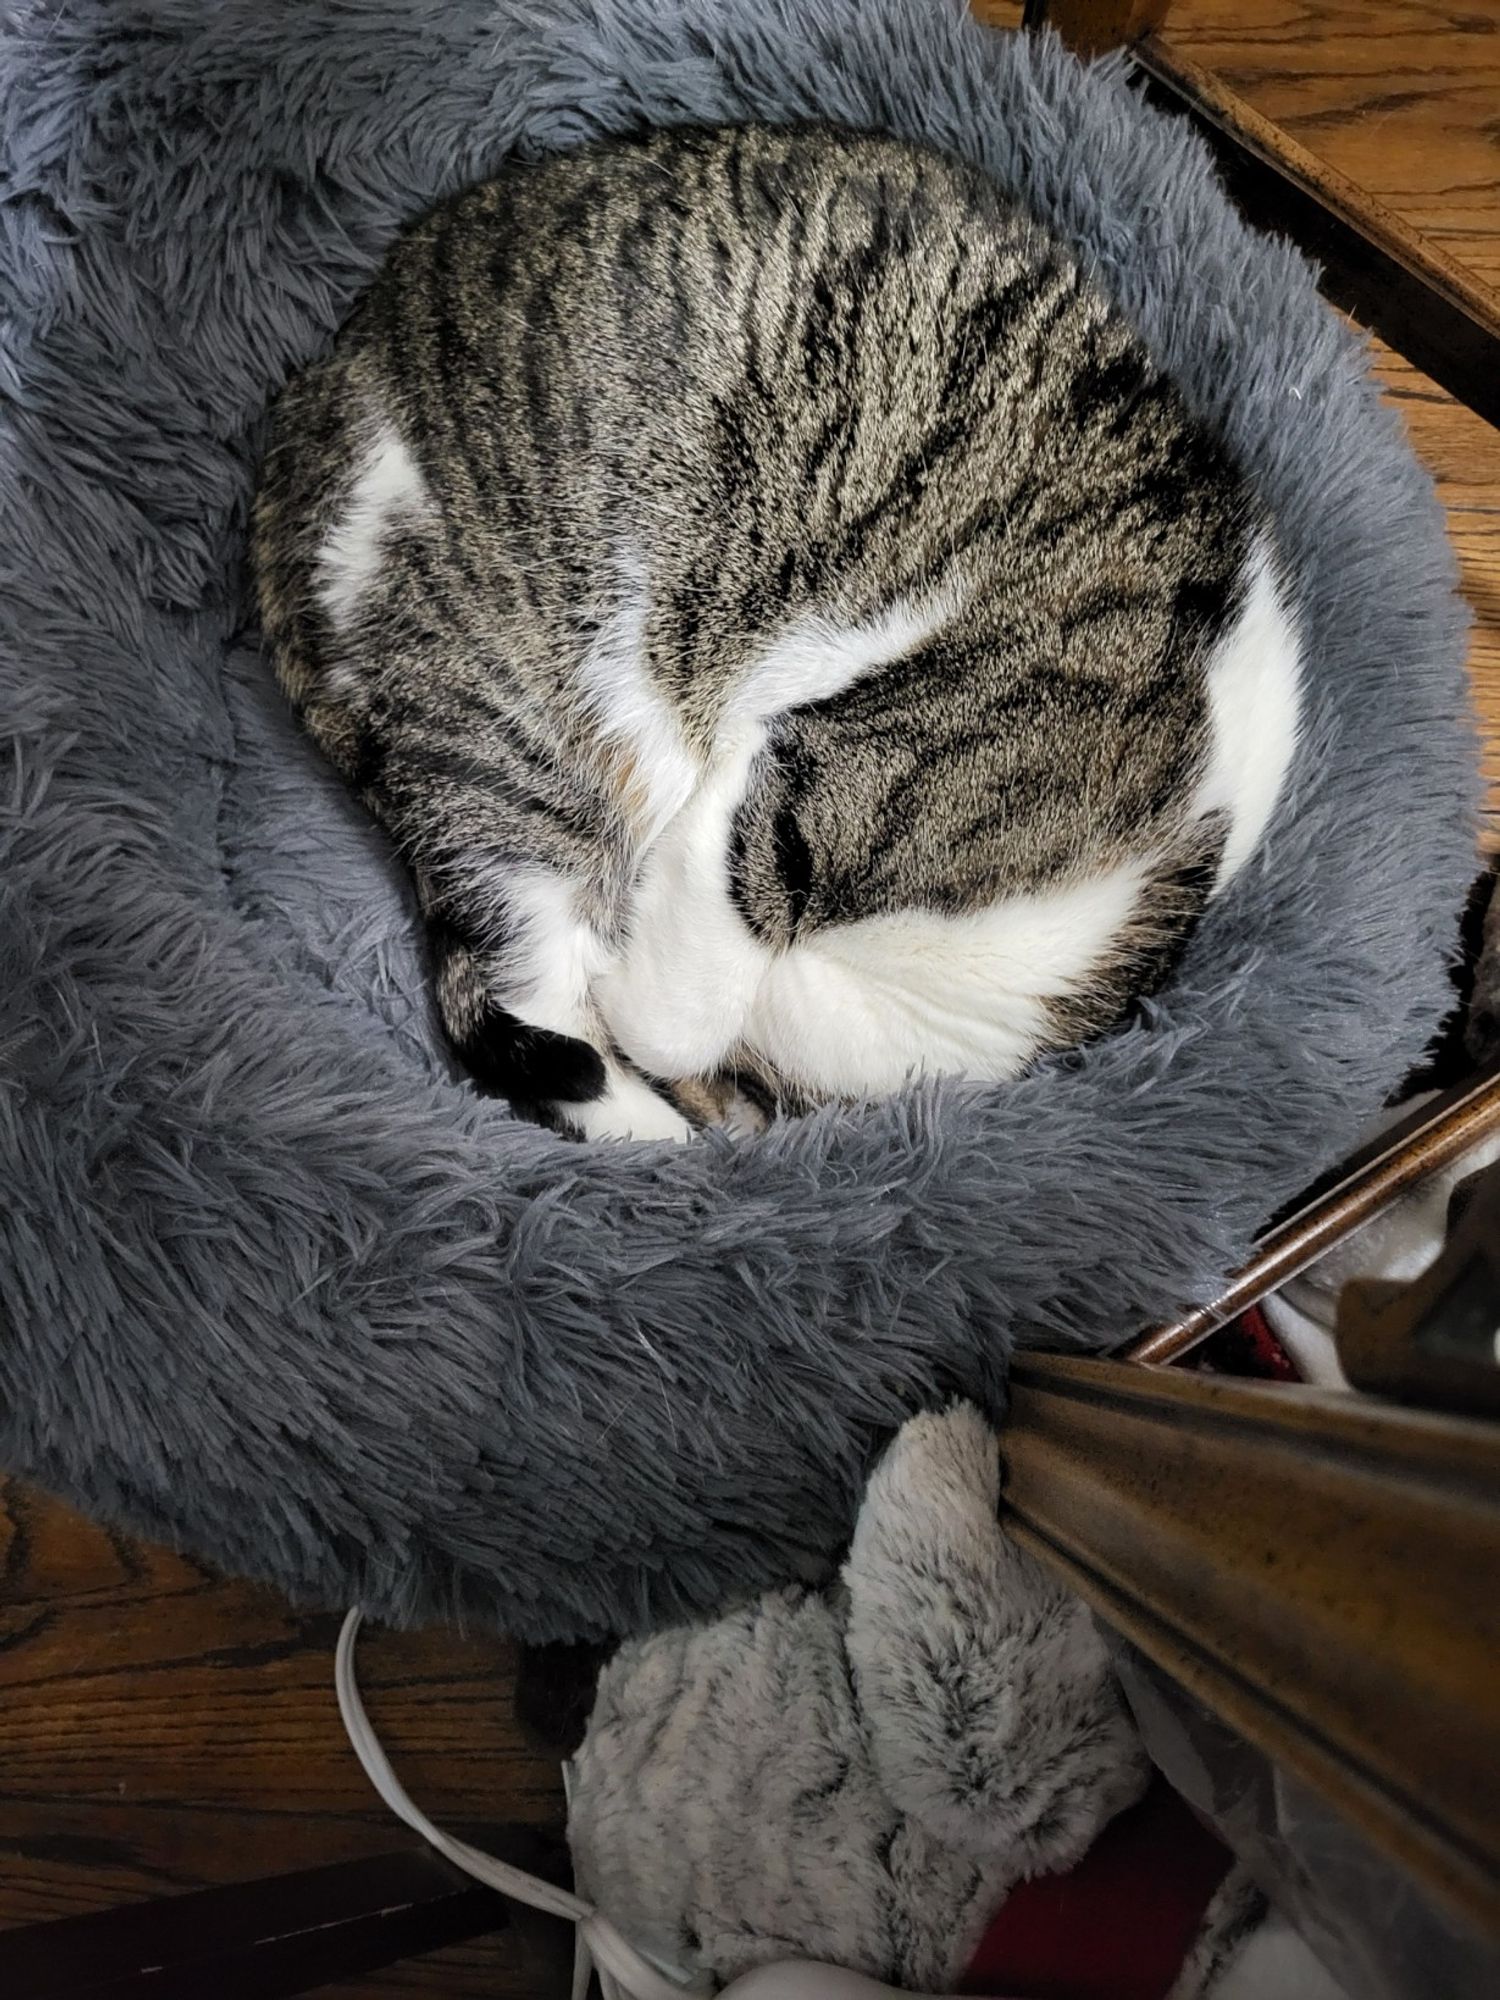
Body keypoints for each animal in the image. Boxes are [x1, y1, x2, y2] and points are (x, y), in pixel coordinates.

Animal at [250, 121, 1304, 1144]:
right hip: (512, 735)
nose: (724, 1095)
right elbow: (706, 946)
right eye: (789, 873)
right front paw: (657, 1027)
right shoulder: (785, 801)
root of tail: (315, 408)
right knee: (524, 977)